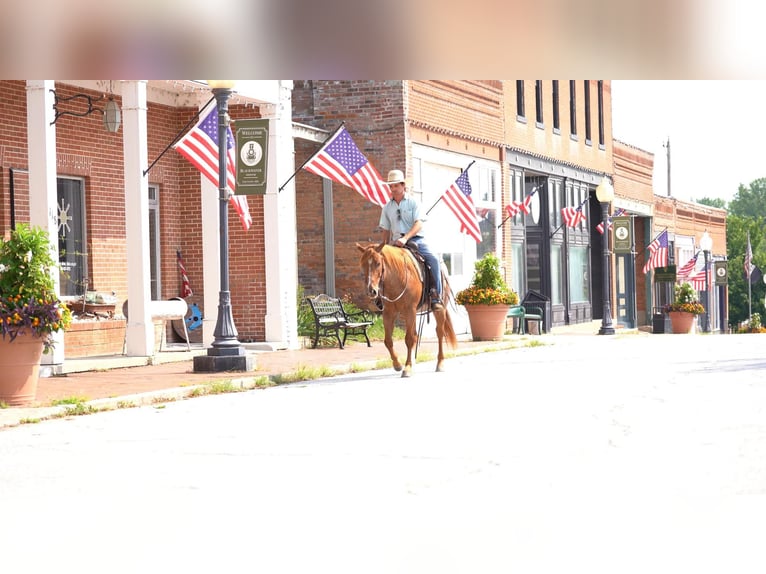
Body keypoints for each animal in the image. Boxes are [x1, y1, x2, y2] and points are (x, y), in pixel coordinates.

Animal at [358, 242, 460, 378]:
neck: (397, 278)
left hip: (440, 309)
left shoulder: (409, 310)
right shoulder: (389, 313)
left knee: (439, 333)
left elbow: (409, 339)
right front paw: (397, 364)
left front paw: (407, 368)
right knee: (417, 335)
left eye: (378, 263)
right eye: (362, 264)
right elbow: (388, 340)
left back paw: (440, 363)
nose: (371, 291)